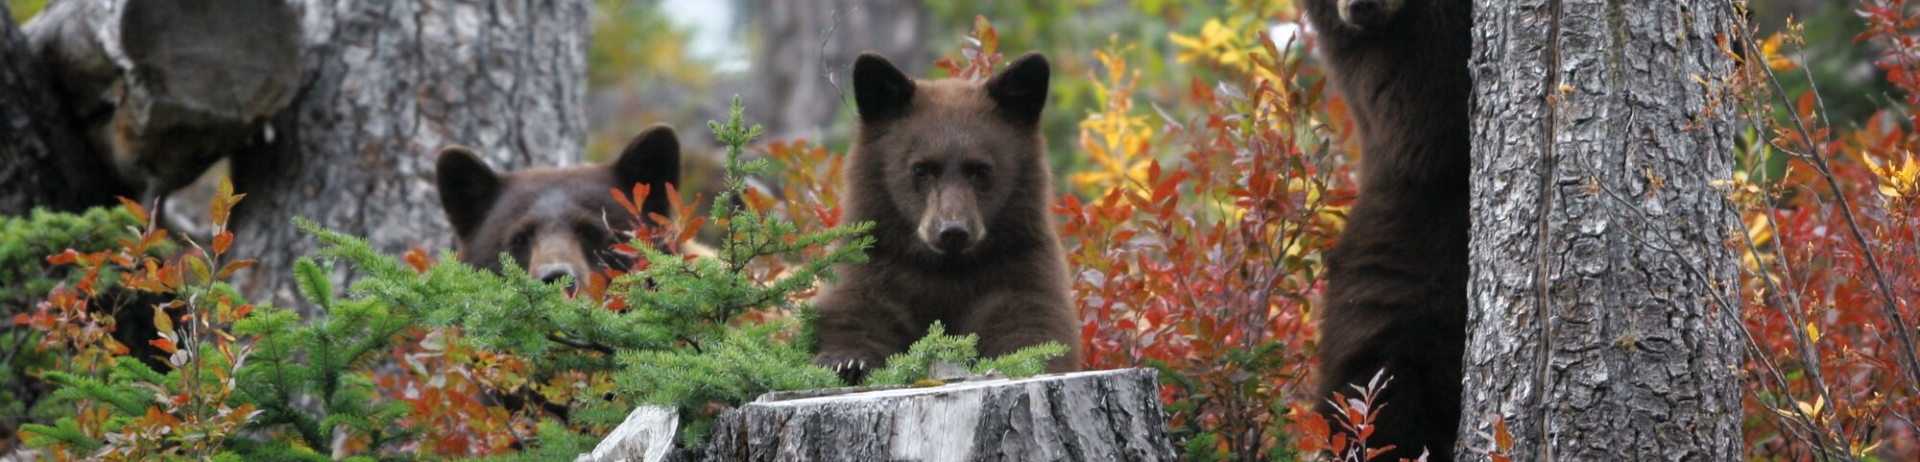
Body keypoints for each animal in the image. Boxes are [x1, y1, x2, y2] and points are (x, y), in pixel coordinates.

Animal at [810, 51, 1082, 382]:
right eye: (921, 168)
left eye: (981, 170)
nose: (953, 230)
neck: (945, 270)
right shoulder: (873, 263)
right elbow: (858, 310)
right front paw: (846, 361)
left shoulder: (1022, 266)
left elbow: (1032, 322)